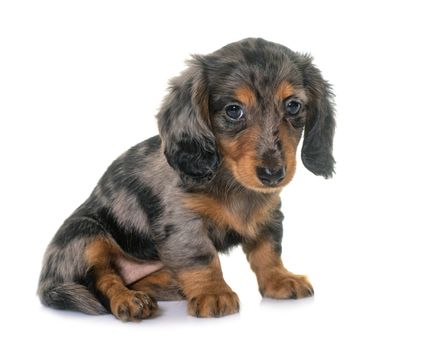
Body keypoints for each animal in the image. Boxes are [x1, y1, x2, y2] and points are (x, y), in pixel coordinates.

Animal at [38, 37, 334, 320]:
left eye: (293, 106)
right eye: (233, 110)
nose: (273, 174)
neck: (230, 180)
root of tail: (46, 283)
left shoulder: (269, 215)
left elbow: (268, 251)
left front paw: (280, 280)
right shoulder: (183, 223)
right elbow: (202, 258)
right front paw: (213, 293)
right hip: (86, 234)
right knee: (102, 279)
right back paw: (129, 300)